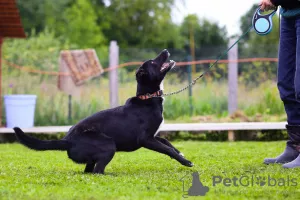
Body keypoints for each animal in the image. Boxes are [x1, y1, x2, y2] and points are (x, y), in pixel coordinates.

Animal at [13, 49, 192, 173]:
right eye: (153, 62)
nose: (165, 50)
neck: (147, 98)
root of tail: (67, 140)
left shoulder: (154, 136)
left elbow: (168, 143)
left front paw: (182, 154)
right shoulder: (145, 139)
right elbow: (167, 149)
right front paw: (186, 162)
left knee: (88, 172)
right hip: (108, 145)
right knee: (97, 172)